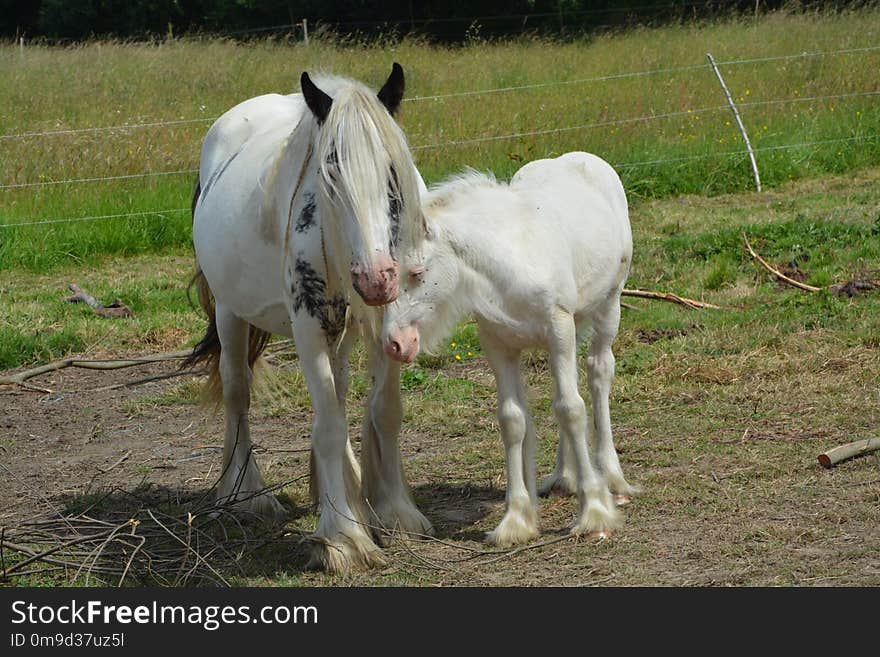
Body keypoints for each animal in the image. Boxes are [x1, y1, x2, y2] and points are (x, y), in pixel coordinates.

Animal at [382, 151, 636, 544]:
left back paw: (611, 476)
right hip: (575, 320)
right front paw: (517, 520)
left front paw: (594, 511)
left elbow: (571, 409)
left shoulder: (558, 329)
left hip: (608, 305)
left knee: (597, 374)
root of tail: (583, 158)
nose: (396, 343)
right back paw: (565, 477)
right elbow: (513, 419)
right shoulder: (499, 345)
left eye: (418, 273)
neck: (510, 264)